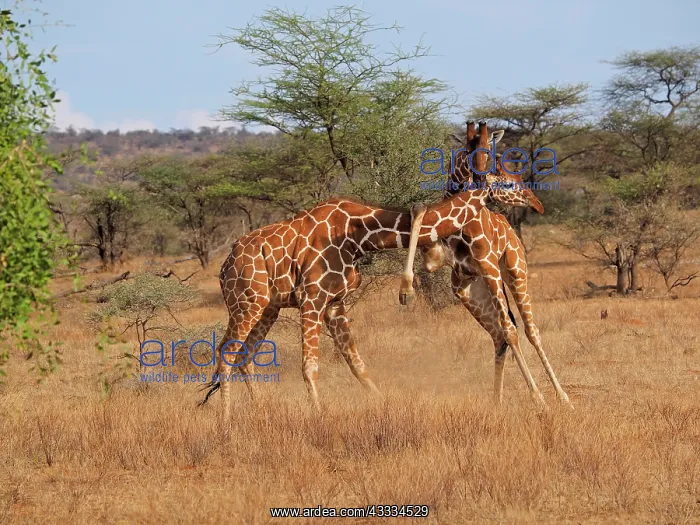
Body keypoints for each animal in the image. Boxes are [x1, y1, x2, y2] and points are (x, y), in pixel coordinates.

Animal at [199, 173, 543, 419]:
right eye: (510, 182)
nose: (536, 202)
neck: (359, 235)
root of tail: (225, 267)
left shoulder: (334, 302)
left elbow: (358, 365)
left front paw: (384, 405)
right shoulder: (312, 297)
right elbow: (310, 366)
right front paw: (319, 419)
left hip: (267, 307)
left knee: (244, 356)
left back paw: (257, 413)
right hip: (246, 302)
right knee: (226, 354)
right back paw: (226, 425)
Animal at [400, 121, 571, 407]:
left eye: (488, 151)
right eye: (467, 150)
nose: (478, 181)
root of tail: (511, 231)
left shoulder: (489, 266)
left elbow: (513, 331)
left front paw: (538, 398)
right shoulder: (436, 258)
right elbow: (419, 210)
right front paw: (406, 292)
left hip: (512, 272)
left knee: (527, 330)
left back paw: (560, 396)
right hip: (469, 291)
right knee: (499, 336)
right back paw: (496, 402)